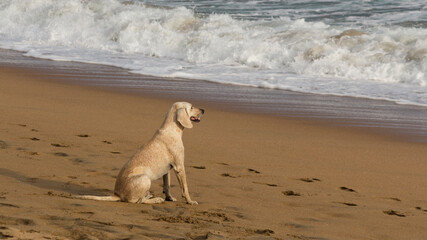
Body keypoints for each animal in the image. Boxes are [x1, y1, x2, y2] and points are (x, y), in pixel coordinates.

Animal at [74, 101, 206, 204]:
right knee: (138, 201)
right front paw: (190, 201)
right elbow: (185, 188)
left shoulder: (168, 169)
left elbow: (167, 185)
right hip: (145, 178)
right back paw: (155, 199)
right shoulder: (179, 167)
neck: (172, 129)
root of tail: (117, 194)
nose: (204, 110)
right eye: (191, 107)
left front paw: (169, 198)